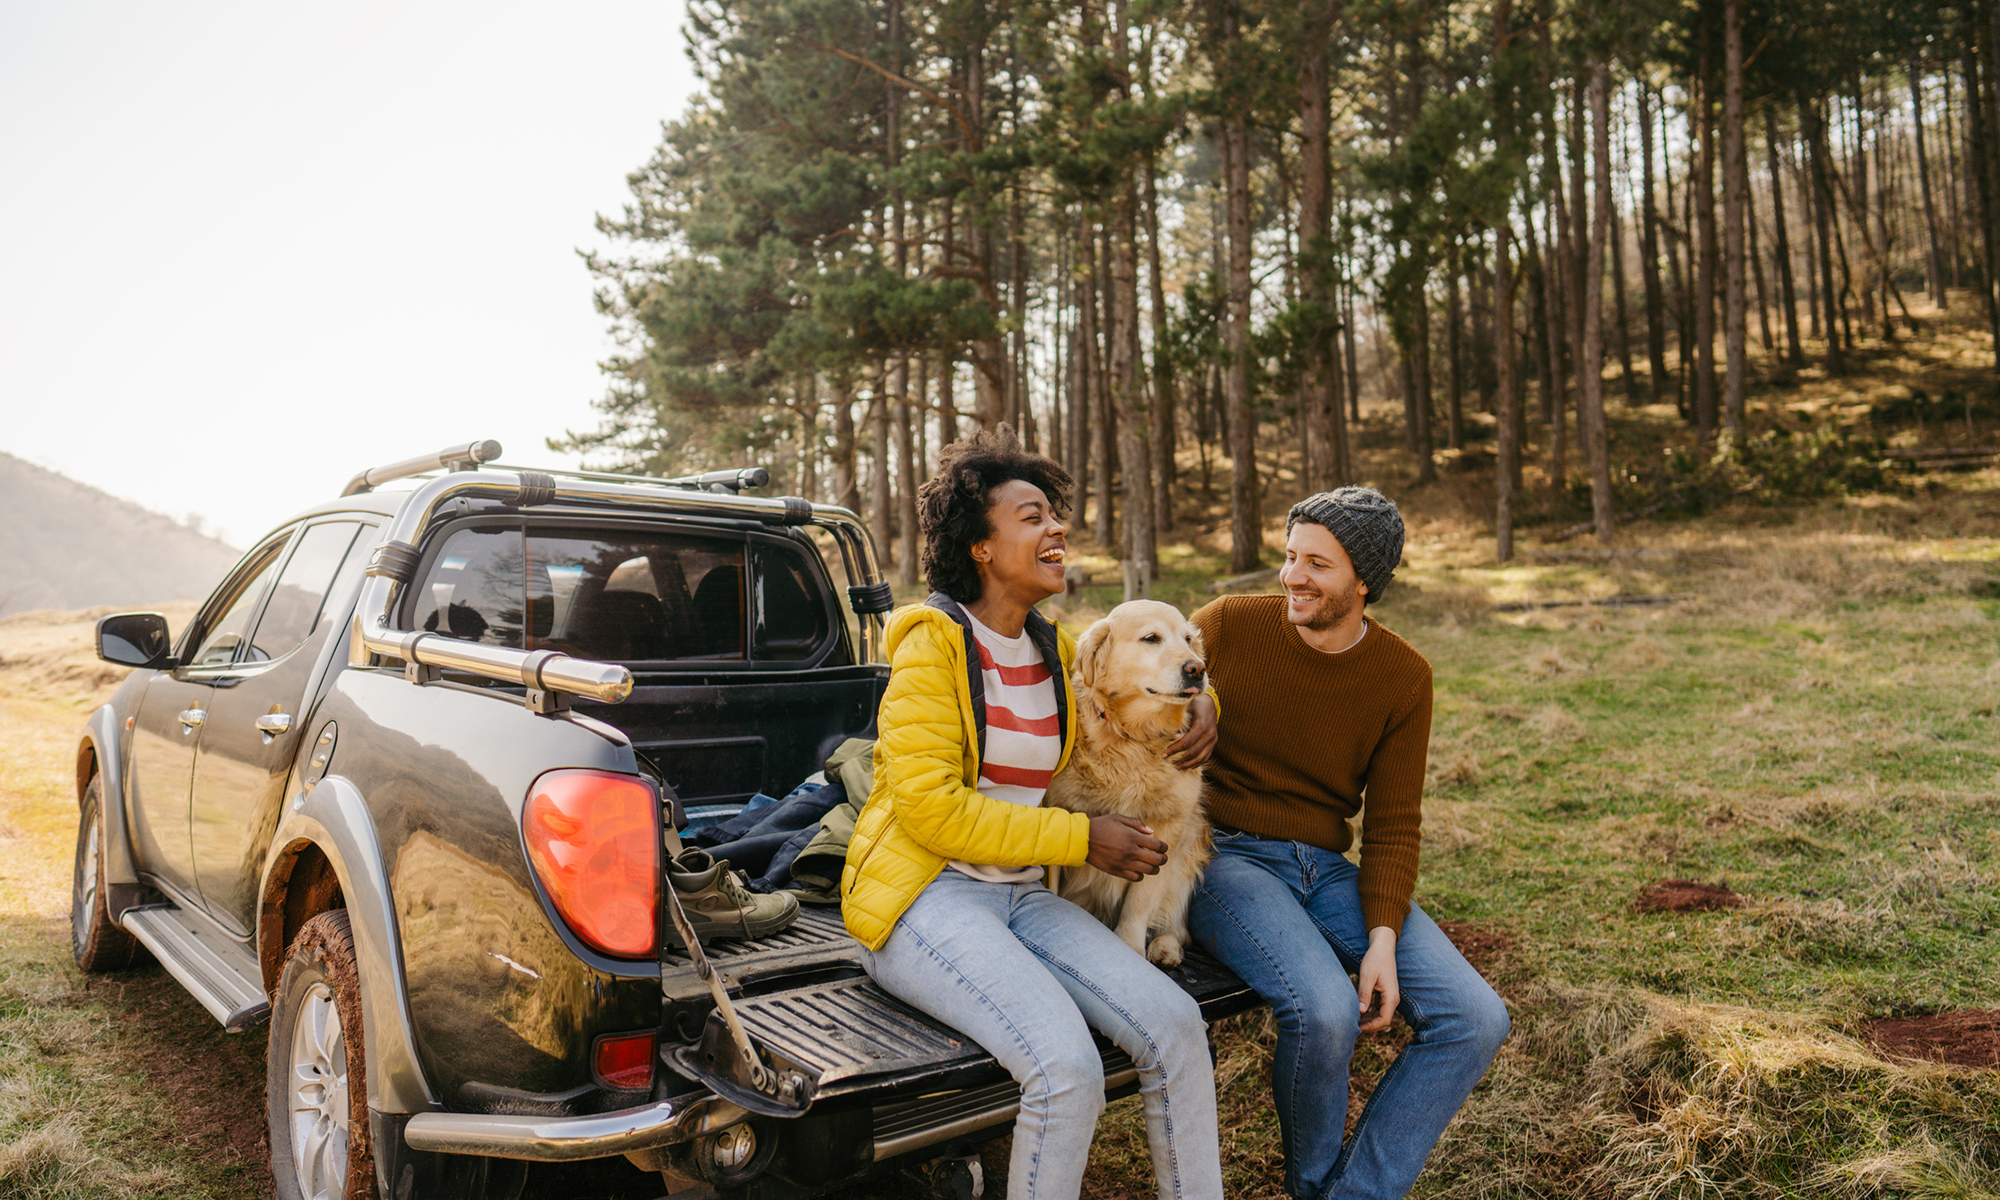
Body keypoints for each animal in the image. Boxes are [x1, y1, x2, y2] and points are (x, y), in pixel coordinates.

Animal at [1056, 596, 1208, 964]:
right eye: (1151, 638)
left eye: (1188, 639)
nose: (1198, 669)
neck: (1135, 739)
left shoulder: (1167, 830)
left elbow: (1140, 904)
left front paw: (1130, 946)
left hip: (1189, 852)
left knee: (1179, 927)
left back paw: (1166, 945)